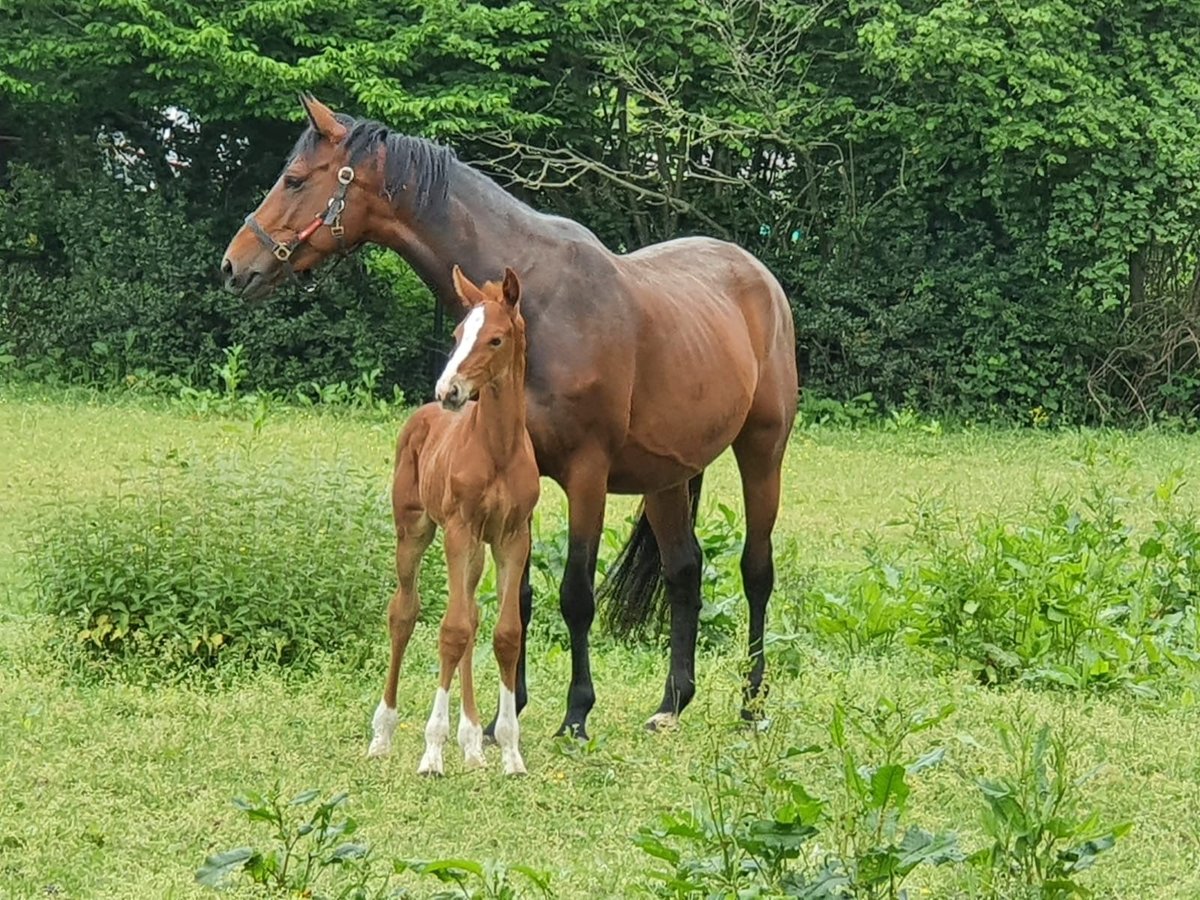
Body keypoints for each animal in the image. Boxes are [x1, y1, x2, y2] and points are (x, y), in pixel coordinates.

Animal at [362, 266, 537, 777]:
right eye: (457, 335)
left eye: (496, 339)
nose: (448, 391)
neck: (498, 449)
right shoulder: (458, 529)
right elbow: (451, 630)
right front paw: (432, 752)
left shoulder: (512, 537)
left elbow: (504, 633)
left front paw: (509, 752)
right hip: (415, 531)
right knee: (404, 613)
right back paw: (383, 734)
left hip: (476, 549)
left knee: (472, 614)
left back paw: (472, 742)